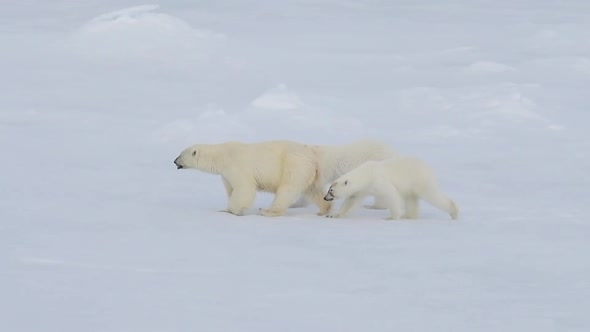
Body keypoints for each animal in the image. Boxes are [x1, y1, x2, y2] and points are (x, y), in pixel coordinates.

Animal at [176, 141, 332, 217]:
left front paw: (235, 210)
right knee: (313, 191)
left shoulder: (237, 166)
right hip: (309, 172)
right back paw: (324, 209)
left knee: (287, 189)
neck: (222, 156)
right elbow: (231, 189)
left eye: (181, 154)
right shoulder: (226, 174)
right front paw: (225, 209)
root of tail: (313, 156)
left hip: (294, 165)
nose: (174, 161)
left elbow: (245, 189)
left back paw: (268, 211)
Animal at [324, 156, 458, 220]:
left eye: (331, 190)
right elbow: (351, 200)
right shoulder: (362, 190)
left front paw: (391, 218)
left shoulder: (379, 181)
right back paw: (409, 216)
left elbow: (391, 195)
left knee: (432, 195)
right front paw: (333, 215)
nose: (325, 198)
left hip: (420, 180)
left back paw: (454, 212)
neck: (367, 174)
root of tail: (427, 166)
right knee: (411, 199)